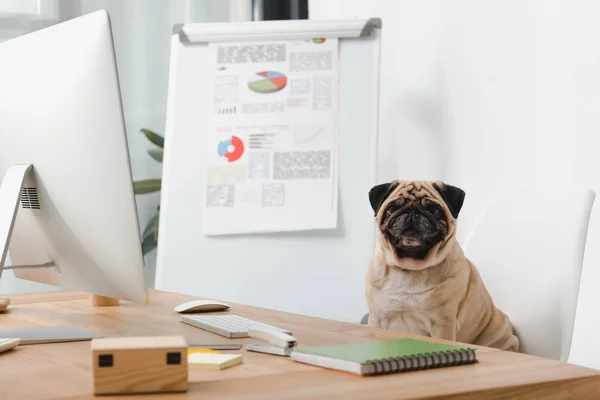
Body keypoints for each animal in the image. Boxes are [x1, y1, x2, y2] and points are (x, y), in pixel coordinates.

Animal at [364, 180, 516, 352]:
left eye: (434, 210)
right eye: (392, 208)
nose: (412, 211)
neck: (410, 268)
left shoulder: (443, 323)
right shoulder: (377, 318)